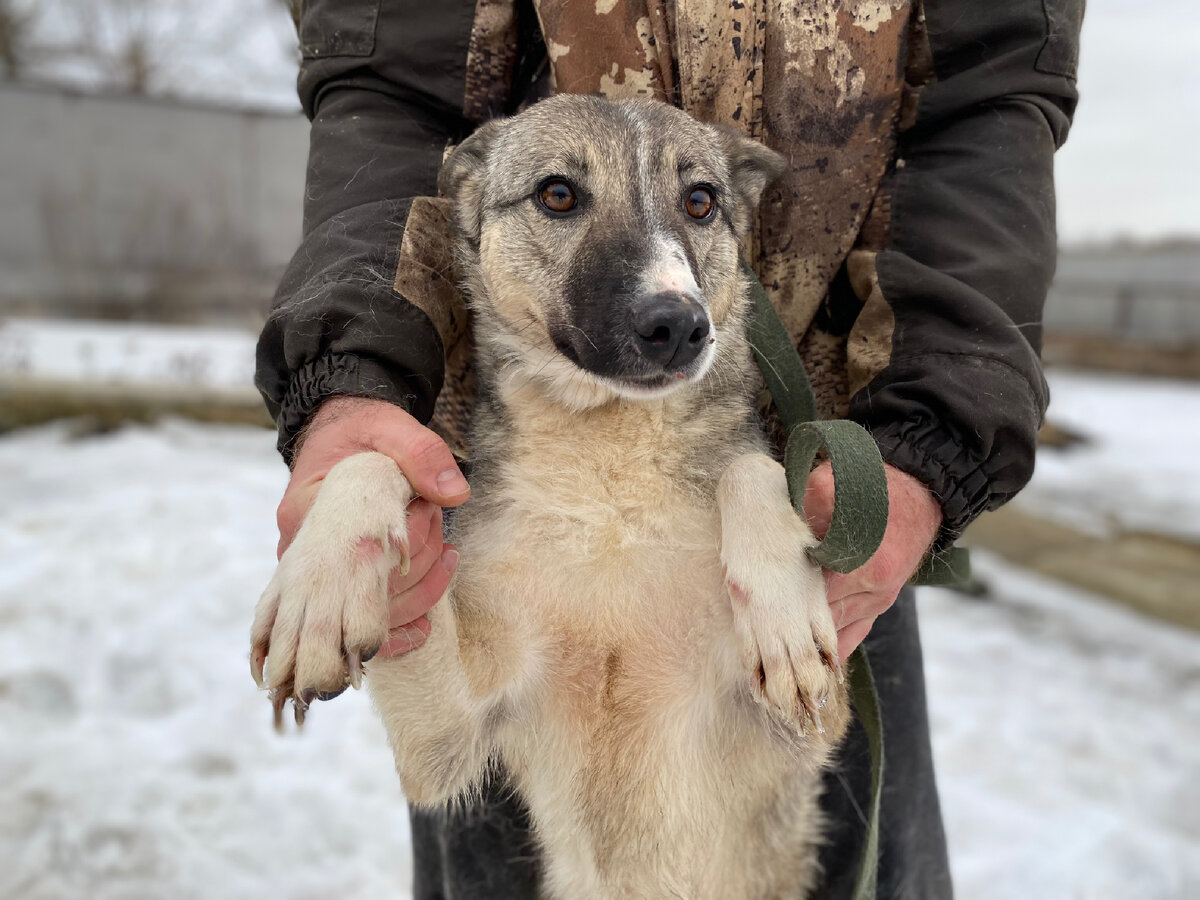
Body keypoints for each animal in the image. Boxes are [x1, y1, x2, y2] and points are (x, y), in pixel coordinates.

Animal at [250, 95, 854, 897]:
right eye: (558, 194)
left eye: (700, 201)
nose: (679, 326)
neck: (607, 494)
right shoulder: (442, 742)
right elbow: (377, 452)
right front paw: (322, 585)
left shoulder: (807, 728)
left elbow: (749, 468)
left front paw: (783, 611)